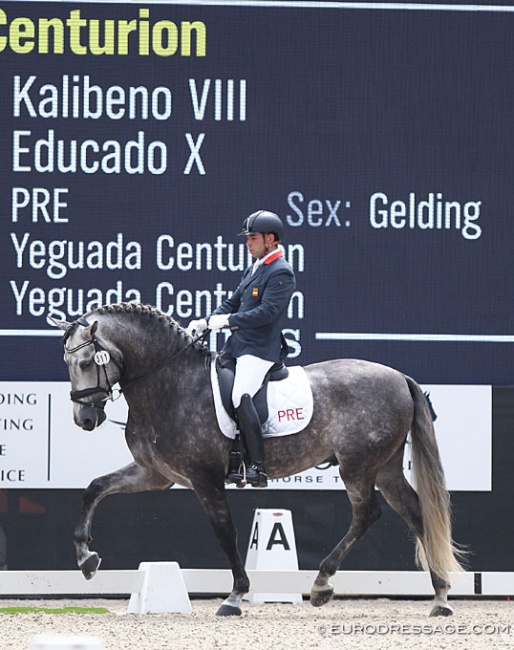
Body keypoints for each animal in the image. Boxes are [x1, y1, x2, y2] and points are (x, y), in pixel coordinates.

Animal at [54, 302, 462, 616]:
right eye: (68, 363)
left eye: (88, 362)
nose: (84, 419)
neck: (171, 384)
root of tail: (399, 377)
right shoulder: (154, 474)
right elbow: (94, 489)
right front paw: (86, 558)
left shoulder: (205, 479)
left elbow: (226, 533)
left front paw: (235, 596)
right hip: (386, 467)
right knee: (415, 513)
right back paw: (440, 598)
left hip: (358, 466)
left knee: (367, 515)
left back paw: (322, 584)